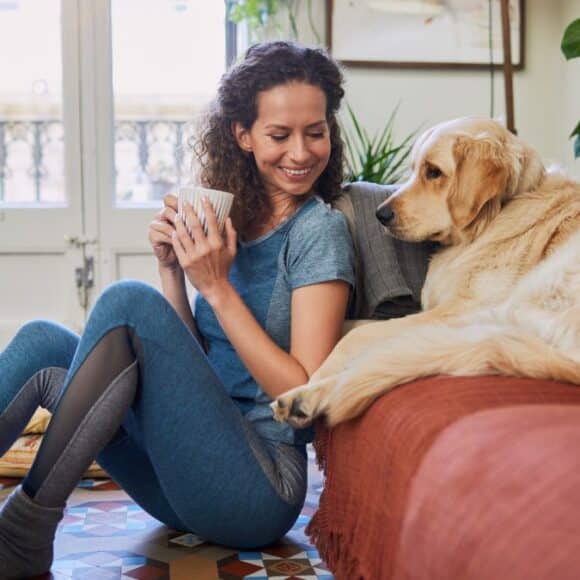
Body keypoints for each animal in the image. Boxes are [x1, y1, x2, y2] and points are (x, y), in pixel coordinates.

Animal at [272, 116, 580, 426]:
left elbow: (356, 337)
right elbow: (354, 325)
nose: (380, 215)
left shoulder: (461, 310)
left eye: (434, 172)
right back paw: (302, 399)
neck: (493, 217)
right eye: (412, 170)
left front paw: (317, 372)